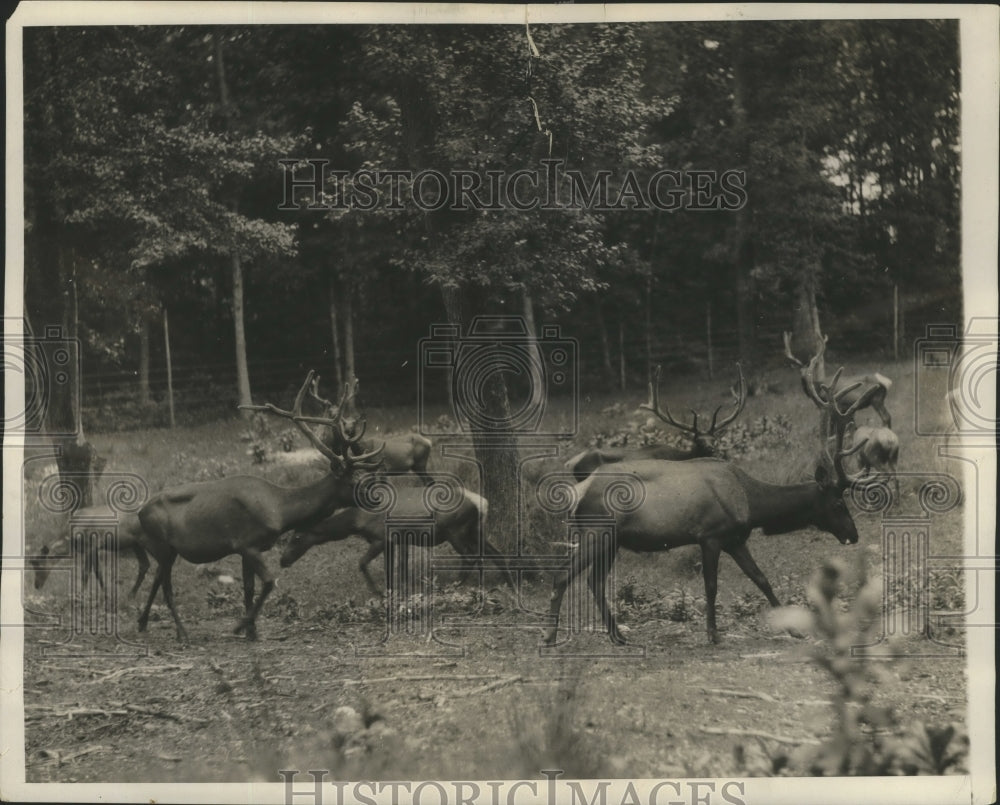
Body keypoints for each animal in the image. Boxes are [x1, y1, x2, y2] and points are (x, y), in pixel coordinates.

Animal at [135, 371, 384, 642]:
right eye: (354, 481)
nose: (378, 499)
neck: (280, 510)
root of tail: (139, 513)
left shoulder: (247, 548)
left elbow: (249, 588)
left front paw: (251, 631)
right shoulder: (247, 542)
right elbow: (268, 583)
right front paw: (241, 626)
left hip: (166, 550)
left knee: (157, 579)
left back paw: (143, 623)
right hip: (162, 545)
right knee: (166, 587)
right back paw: (182, 632)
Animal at [279, 487, 515, 593]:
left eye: (296, 536)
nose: (283, 560)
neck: (357, 521)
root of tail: (481, 503)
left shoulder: (381, 538)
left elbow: (362, 563)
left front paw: (377, 592)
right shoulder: (393, 542)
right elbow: (392, 568)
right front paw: (393, 590)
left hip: (454, 529)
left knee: (470, 556)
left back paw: (453, 586)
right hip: (475, 530)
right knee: (496, 554)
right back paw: (509, 584)